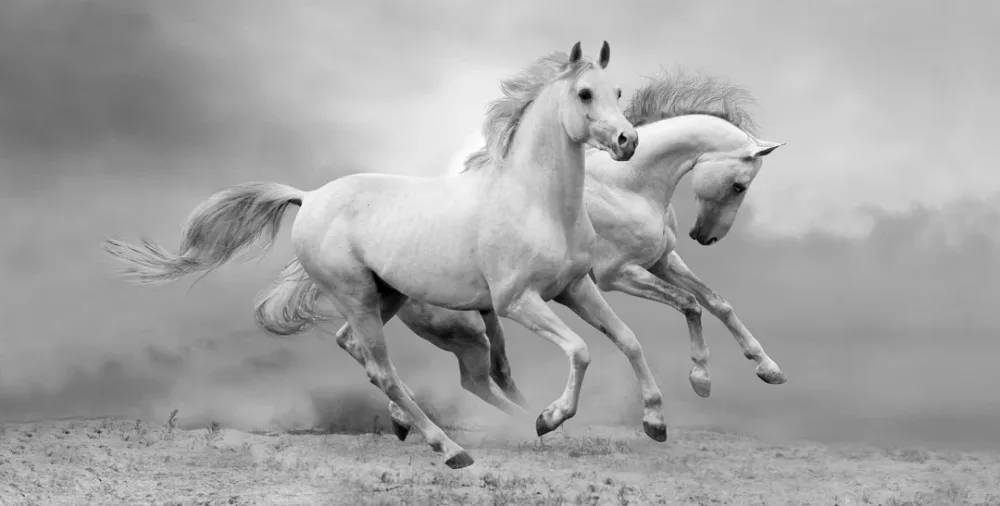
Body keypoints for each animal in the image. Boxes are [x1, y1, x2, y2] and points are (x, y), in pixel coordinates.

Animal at [103, 41, 658, 469]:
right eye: (584, 93)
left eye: (618, 92)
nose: (628, 141)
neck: (535, 202)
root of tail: (308, 197)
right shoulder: (517, 302)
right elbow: (581, 350)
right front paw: (549, 418)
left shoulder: (575, 288)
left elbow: (628, 340)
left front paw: (655, 421)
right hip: (358, 297)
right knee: (383, 370)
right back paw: (451, 449)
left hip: (384, 296)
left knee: (358, 349)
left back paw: (425, 428)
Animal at [255, 69, 787, 440]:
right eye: (739, 185)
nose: (704, 237)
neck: (628, 184)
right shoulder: (618, 275)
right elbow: (689, 305)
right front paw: (700, 380)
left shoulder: (659, 262)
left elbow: (715, 302)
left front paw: (765, 368)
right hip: (461, 328)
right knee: (454, 373)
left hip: (421, 309)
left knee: (386, 353)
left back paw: (412, 421)